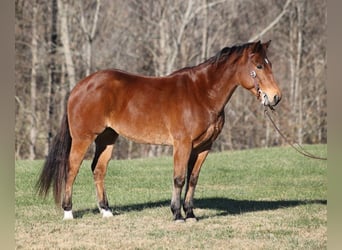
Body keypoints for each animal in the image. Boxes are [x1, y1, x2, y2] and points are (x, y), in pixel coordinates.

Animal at [36, 40, 280, 222]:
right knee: (71, 170)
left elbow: (193, 179)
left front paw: (191, 214)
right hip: (83, 138)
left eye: (270, 64)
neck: (202, 94)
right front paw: (177, 214)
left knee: (98, 170)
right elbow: (179, 178)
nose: (275, 96)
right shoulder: (182, 144)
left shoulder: (203, 147)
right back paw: (68, 212)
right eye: (259, 66)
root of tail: (79, 87)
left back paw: (106, 210)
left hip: (107, 138)